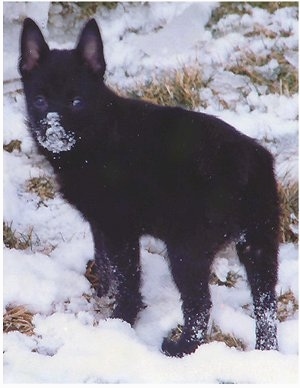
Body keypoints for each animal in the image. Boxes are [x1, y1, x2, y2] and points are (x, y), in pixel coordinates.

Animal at [19, 19, 280, 358]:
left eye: (76, 102)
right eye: (39, 100)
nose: (53, 132)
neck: (97, 135)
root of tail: (249, 161)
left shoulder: (120, 231)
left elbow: (128, 281)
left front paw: (120, 322)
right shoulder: (101, 224)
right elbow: (105, 261)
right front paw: (102, 292)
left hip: (187, 250)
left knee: (200, 308)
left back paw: (181, 348)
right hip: (260, 244)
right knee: (267, 308)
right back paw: (266, 354)